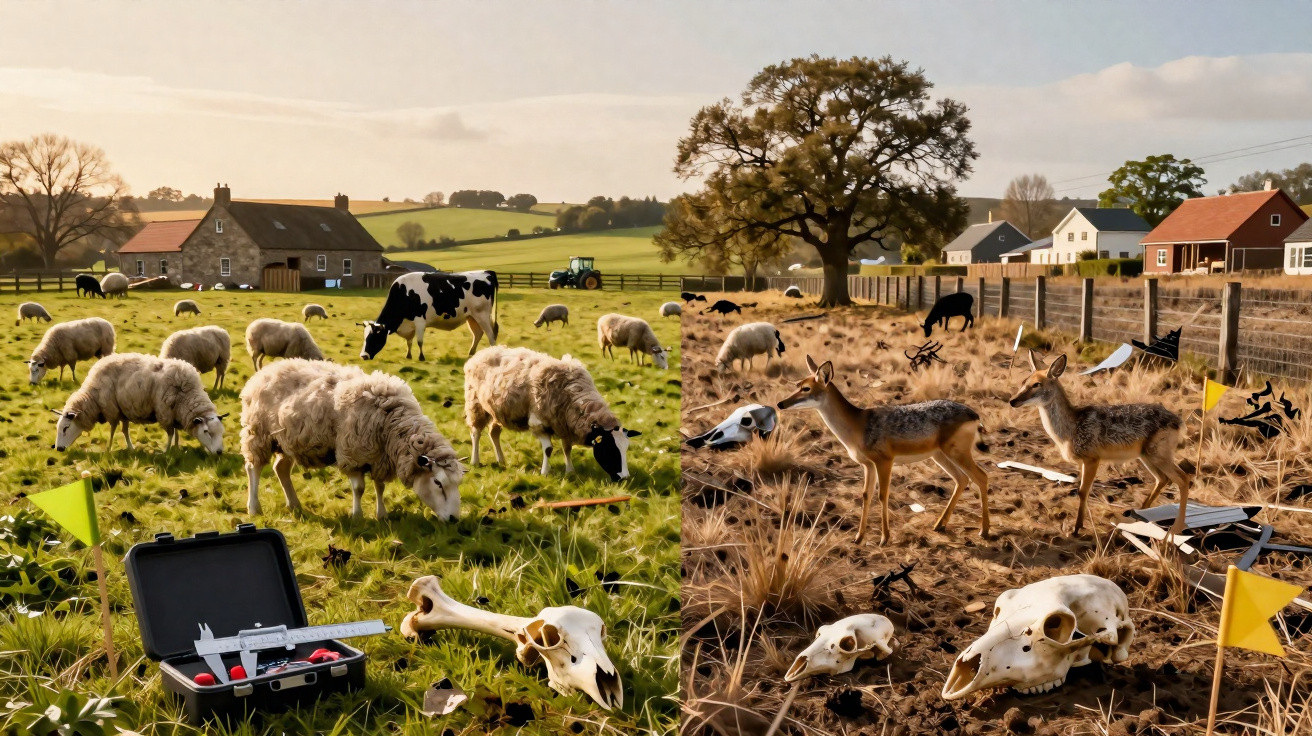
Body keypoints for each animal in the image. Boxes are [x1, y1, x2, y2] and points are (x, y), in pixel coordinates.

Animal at [359, 271, 499, 361]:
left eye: (373, 337)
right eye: (364, 338)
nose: (363, 356)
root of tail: (486, 272)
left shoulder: (420, 321)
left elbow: (419, 341)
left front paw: (421, 357)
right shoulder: (410, 324)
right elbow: (409, 342)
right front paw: (408, 356)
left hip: (482, 315)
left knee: (491, 335)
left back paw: (493, 353)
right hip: (471, 317)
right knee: (478, 334)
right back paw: (471, 353)